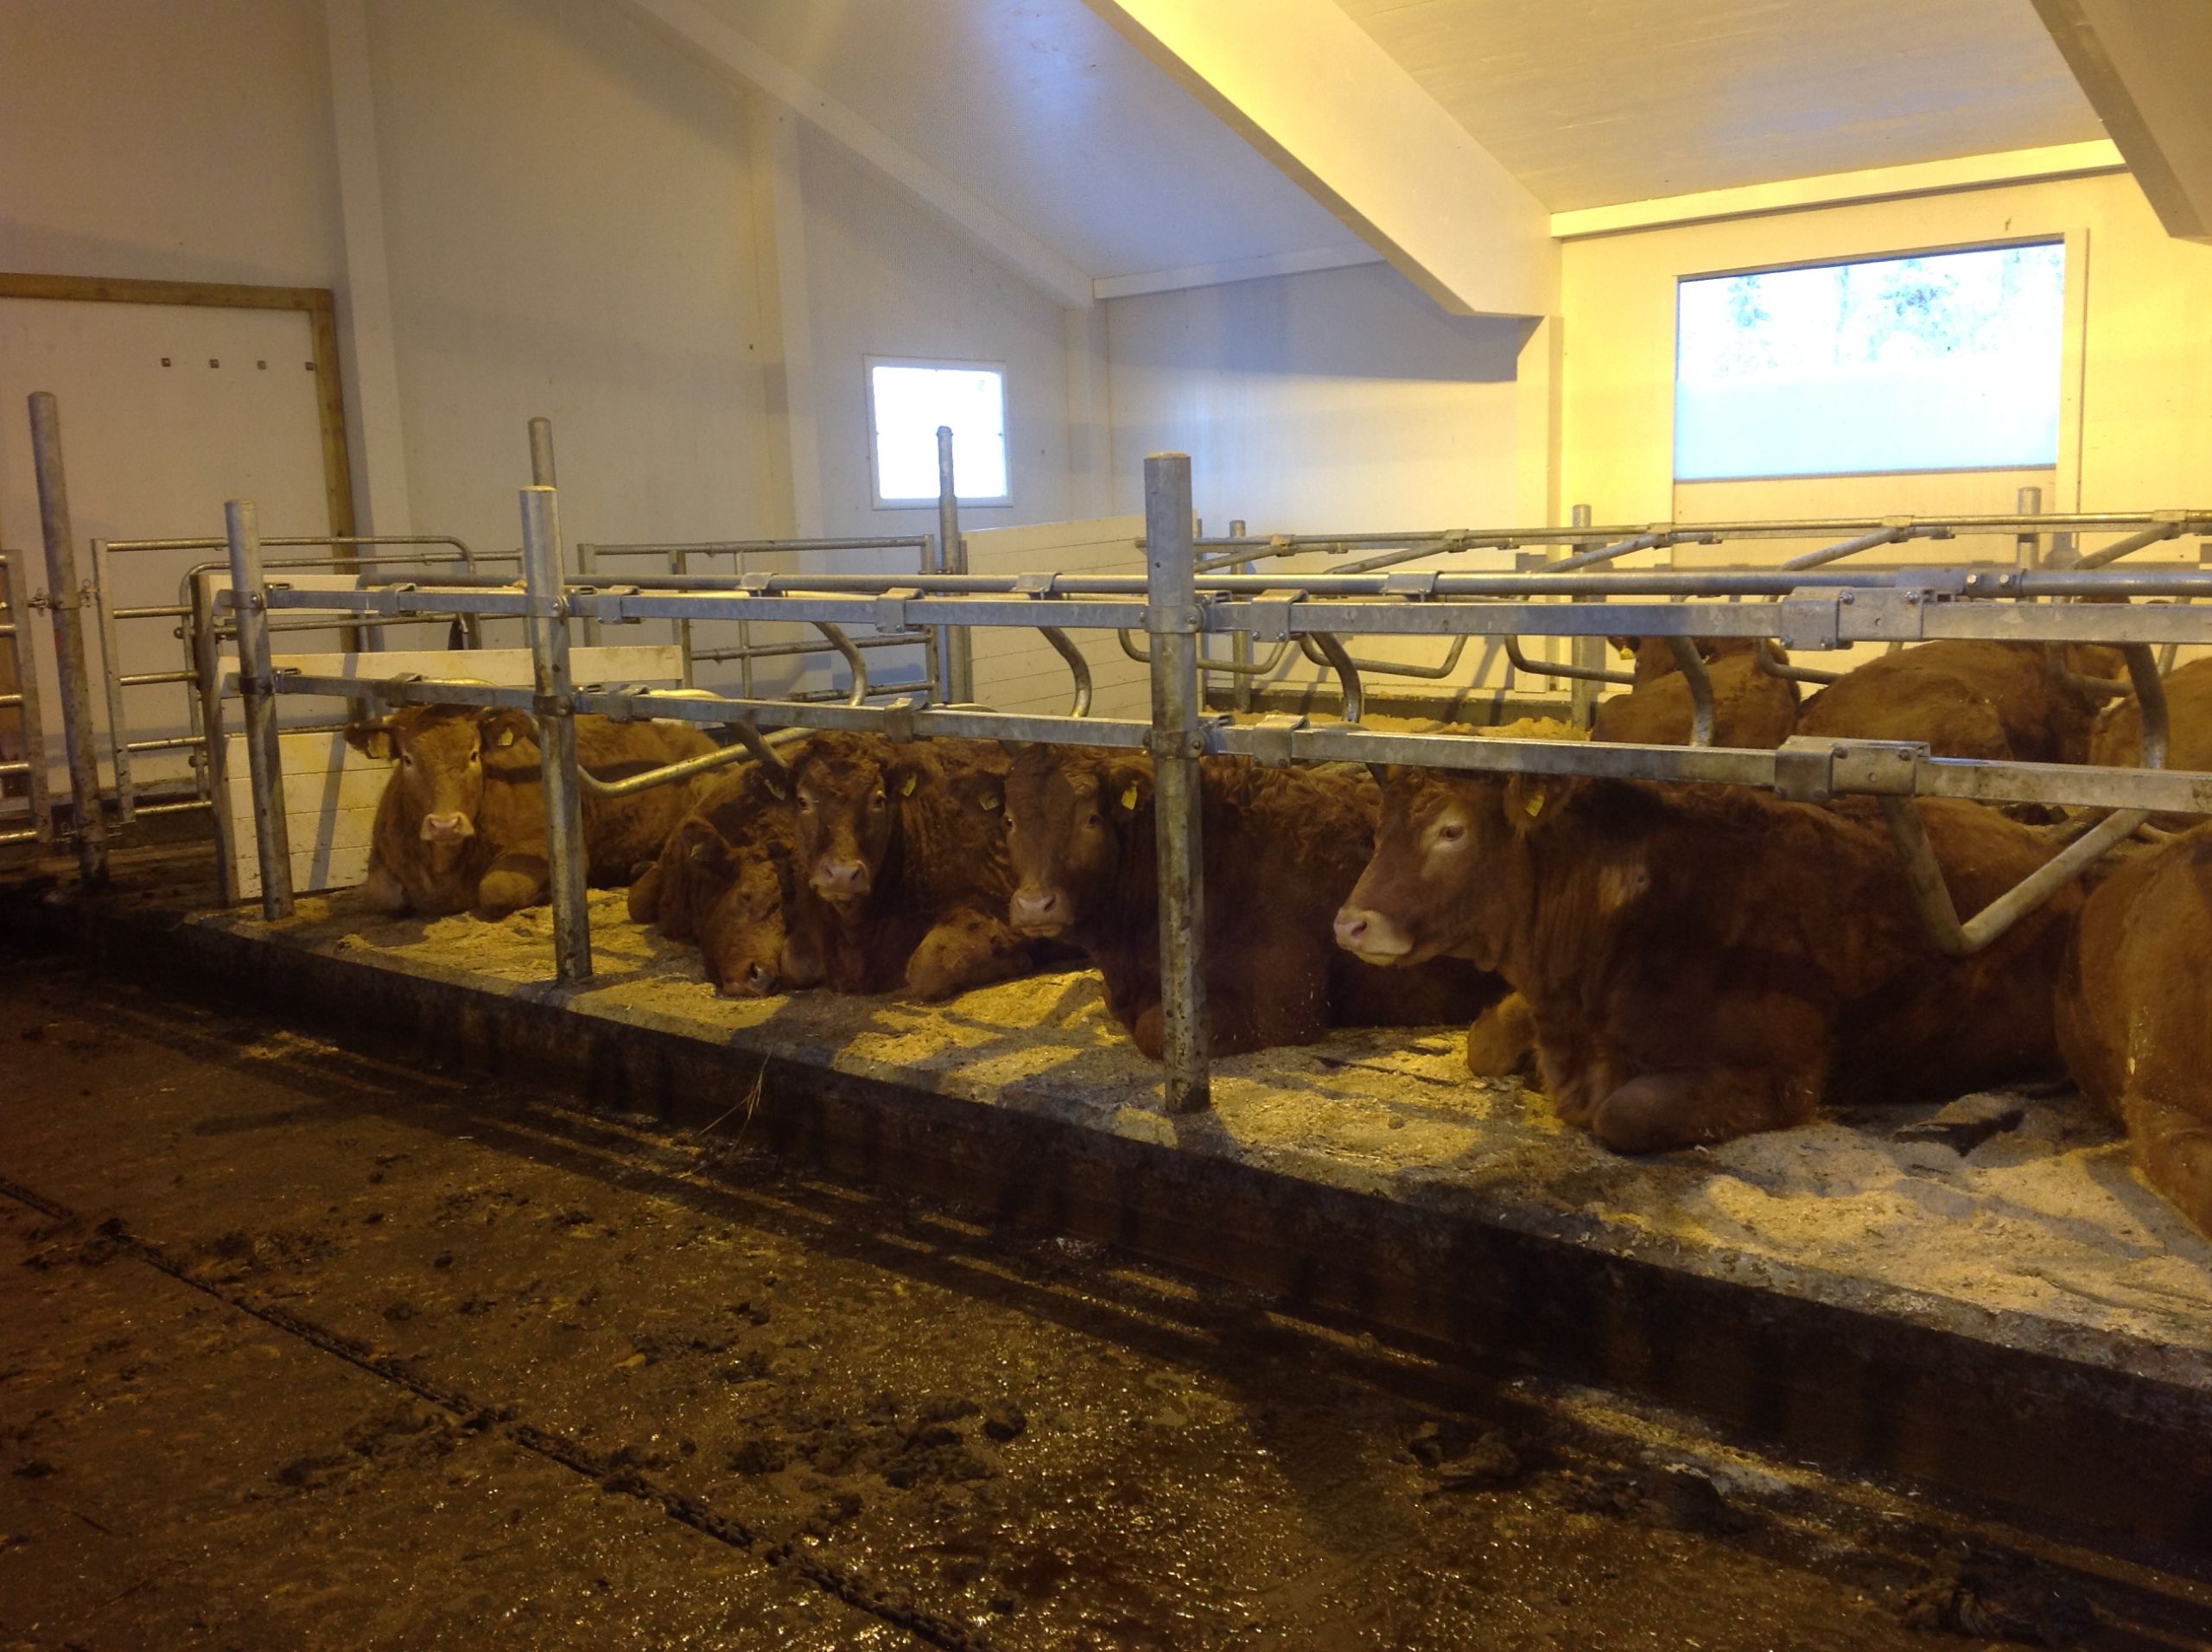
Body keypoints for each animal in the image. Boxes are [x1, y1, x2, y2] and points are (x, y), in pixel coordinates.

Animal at [777, 732, 1048, 1000]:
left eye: (878, 799)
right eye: (802, 801)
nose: (841, 875)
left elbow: (927, 968)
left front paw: (1018, 959)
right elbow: (792, 963)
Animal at [1333, 768, 2074, 1152]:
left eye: (1451, 831)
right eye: (1378, 829)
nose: (1349, 923)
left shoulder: (1780, 1075)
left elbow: (1623, 1115)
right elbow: (1483, 1044)